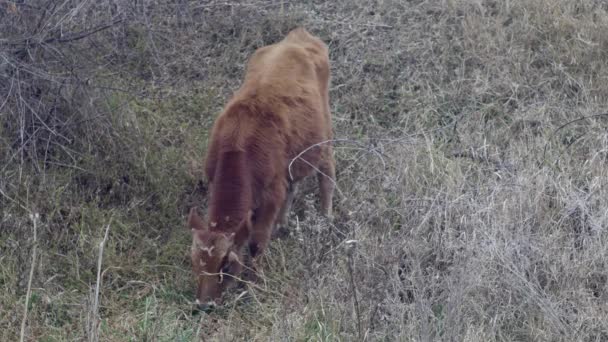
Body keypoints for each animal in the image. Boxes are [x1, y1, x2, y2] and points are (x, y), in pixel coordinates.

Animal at [188, 27, 334, 310]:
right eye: (196, 263)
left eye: (226, 265)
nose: (204, 305)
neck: (239, 147)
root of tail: (298, 38)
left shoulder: (270, 196)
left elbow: (256, 243)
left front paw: (252, 285)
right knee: (293, 186)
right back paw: (284, 224)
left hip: (324, 135)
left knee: (327, 175)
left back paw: (325, 218)